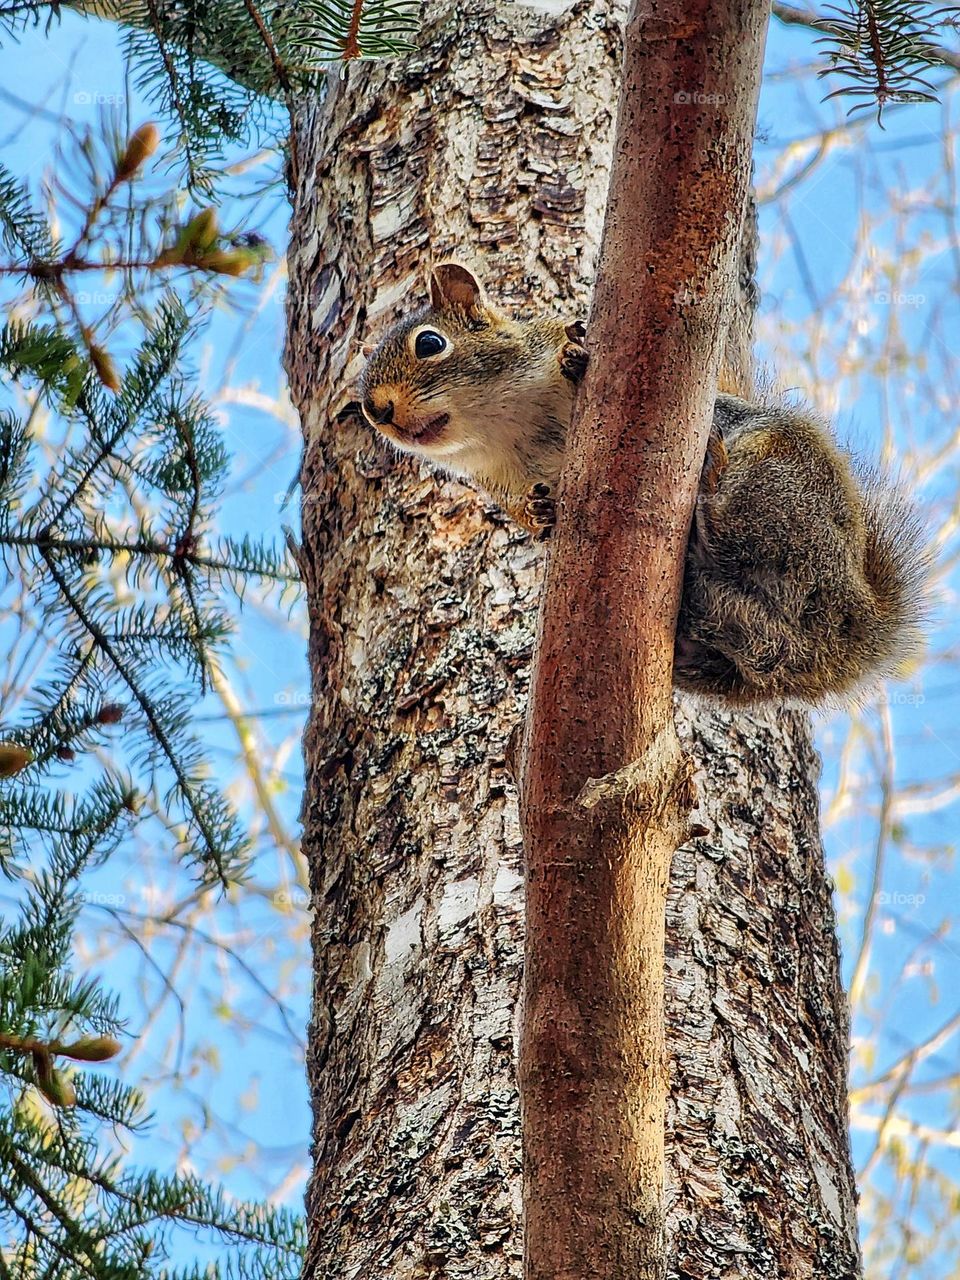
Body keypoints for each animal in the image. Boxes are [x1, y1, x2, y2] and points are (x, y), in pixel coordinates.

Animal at [355, 257, 931, 701]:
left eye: (430, 343)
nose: (377, 411)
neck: (505, 425)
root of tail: (852, 625)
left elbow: (565, 344)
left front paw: (573, 352)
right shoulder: (502, 479)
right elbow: (524, 510)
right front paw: (539, 515)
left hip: (776, 481)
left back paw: (710, 493)